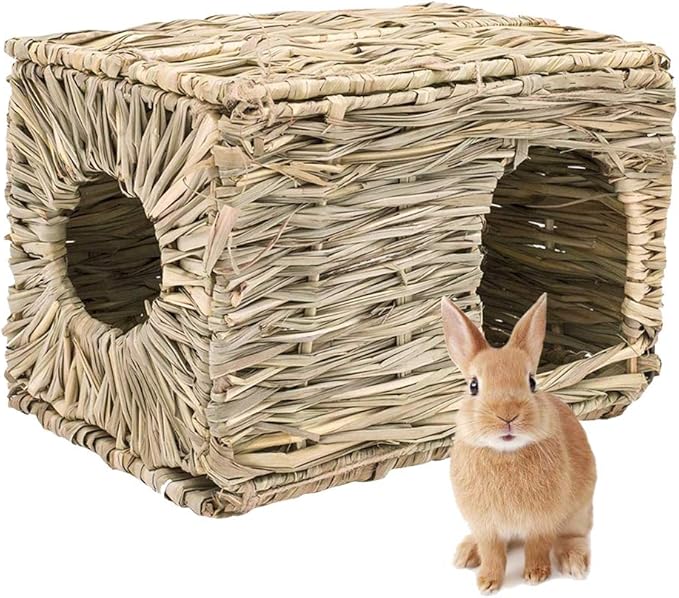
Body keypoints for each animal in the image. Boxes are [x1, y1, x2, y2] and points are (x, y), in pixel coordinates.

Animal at [440, 293, 596, 594]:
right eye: (473, 386)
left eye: (532, 382)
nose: (508, 415)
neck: (505, 453)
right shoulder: (486, 526)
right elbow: (492, 553)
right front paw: (487, 583)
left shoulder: (542, 522)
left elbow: (537, 546)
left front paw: (535, 575)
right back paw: (466, 553)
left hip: (578, 511)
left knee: (573, 535)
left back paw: (573, 563)